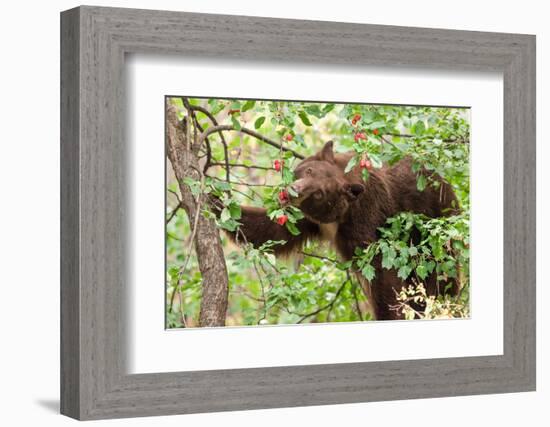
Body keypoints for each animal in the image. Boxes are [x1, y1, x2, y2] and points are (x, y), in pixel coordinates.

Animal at [220, 141, 462, 320]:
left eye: (319, 193)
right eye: (308, 170)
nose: (293, 191)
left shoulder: (366, 216)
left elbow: (380, 268)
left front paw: (389, 313)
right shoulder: (308, 219)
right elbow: (274, 231)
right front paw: (217, 202)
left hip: (434, 228)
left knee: (440, 276)